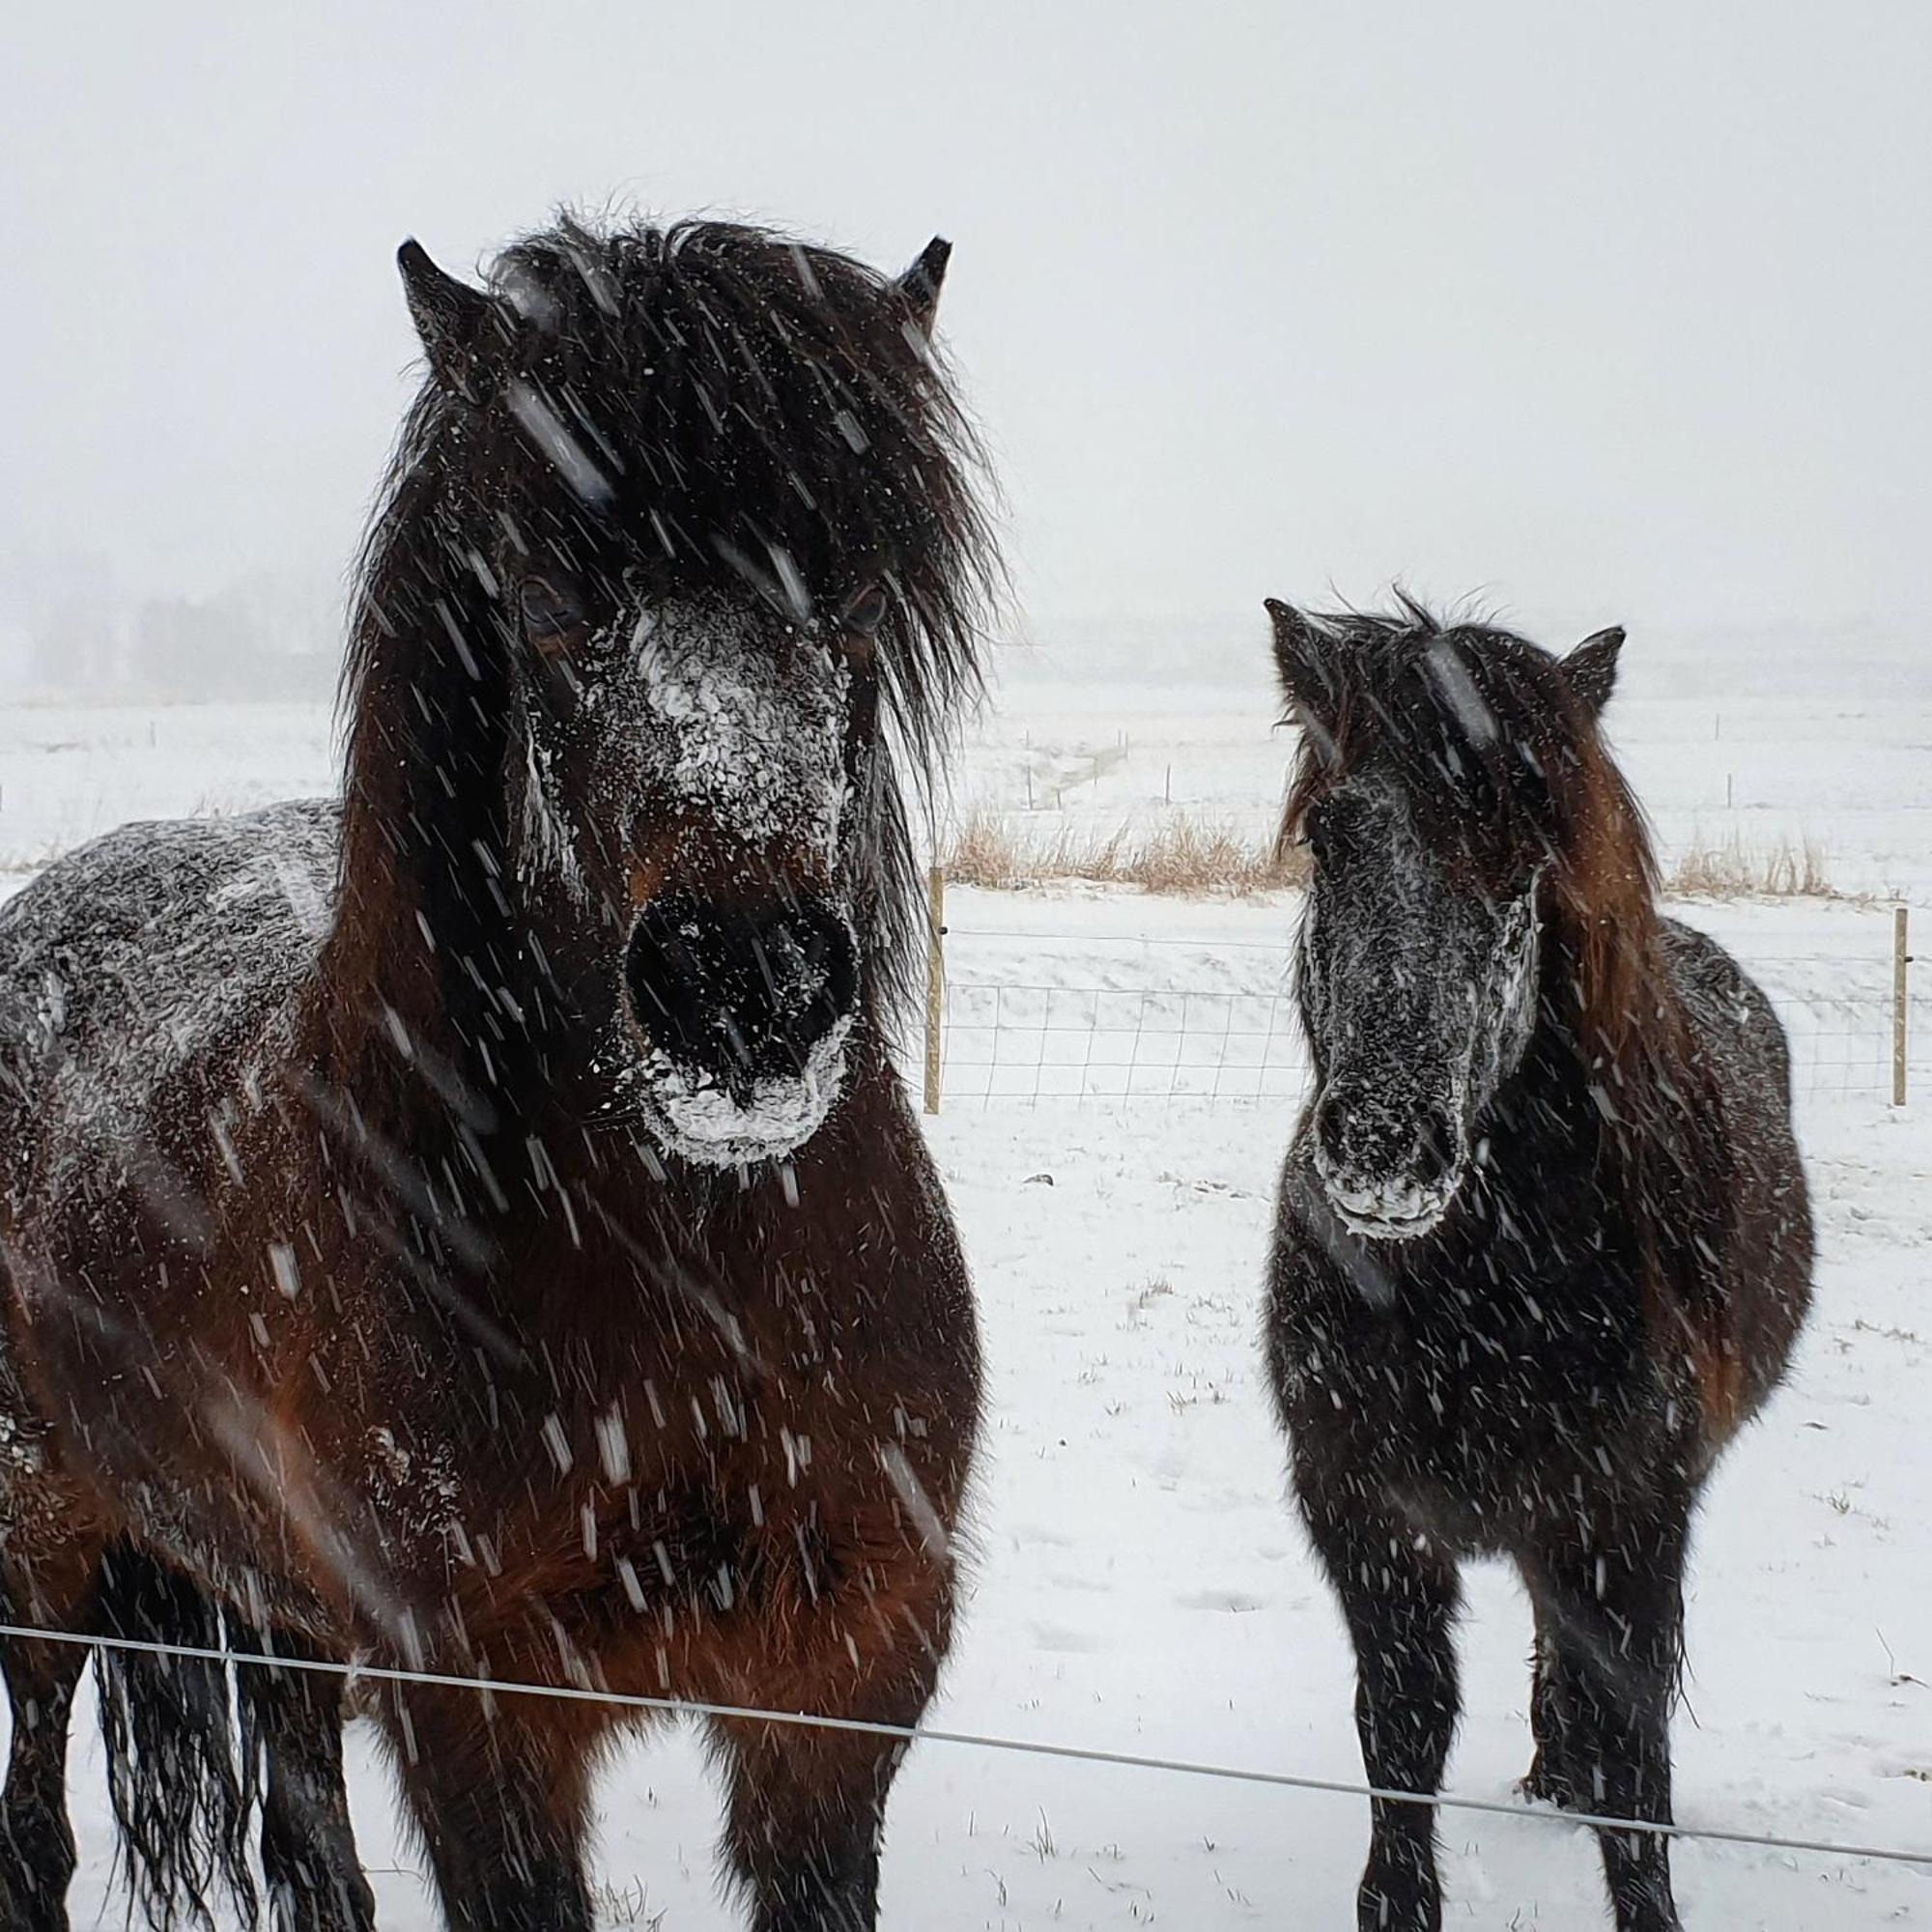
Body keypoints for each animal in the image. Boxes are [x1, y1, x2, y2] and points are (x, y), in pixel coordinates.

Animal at [0, 215, 997, 1932]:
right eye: (543, 598)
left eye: (856, 591)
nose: (746, 993)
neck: (697, 1290)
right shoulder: (483, 1711)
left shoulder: (842, 1688)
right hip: (40, 1559)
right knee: (34, 1838)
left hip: (278, 1607)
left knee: (307, 1843)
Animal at [1260, 599, 1816, 1932]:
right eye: (1329, 834)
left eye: (1526, 857)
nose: (1382, 1144)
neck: (1467, 1300)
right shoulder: (1365, 1516)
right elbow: (1402, 1728)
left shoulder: (1625, 1516)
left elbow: (1635, 1766)